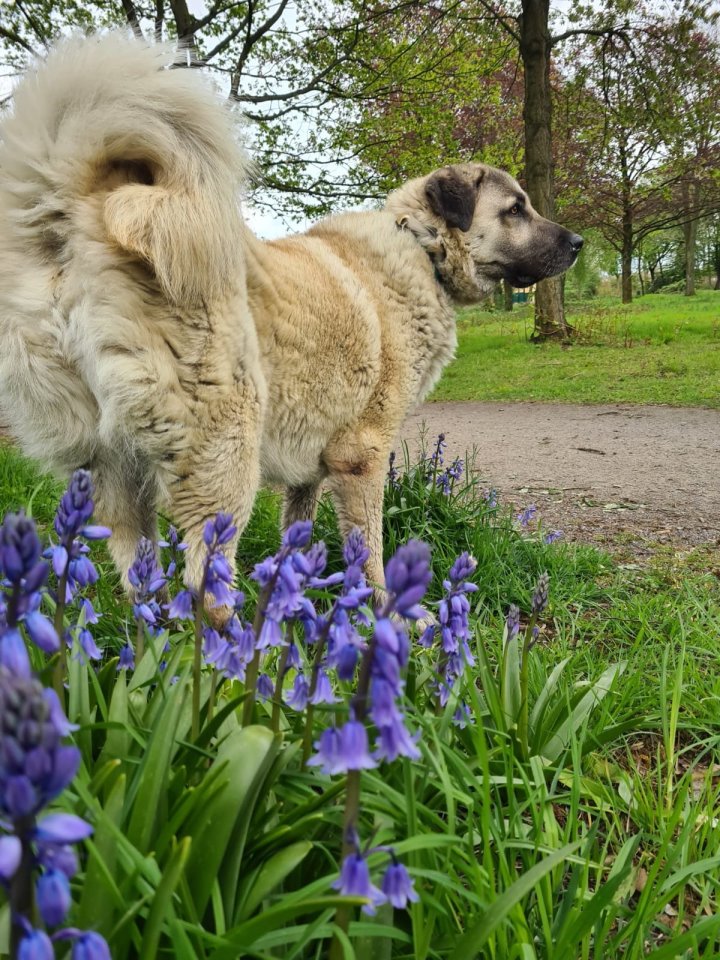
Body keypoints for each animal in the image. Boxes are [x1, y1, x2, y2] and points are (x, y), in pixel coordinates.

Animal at [245, 165, 584, 592]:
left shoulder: (310, 463)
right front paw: (376, 605)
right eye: (515, 209)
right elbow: (369, 553)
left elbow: (297, 537)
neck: (426, 248)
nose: (580, 242)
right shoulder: (362, 456)